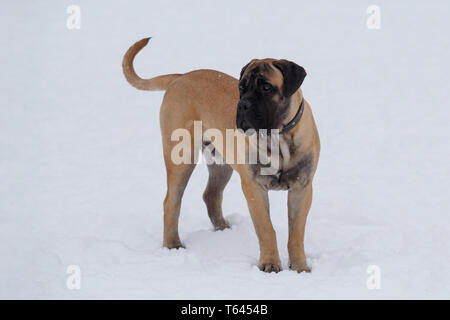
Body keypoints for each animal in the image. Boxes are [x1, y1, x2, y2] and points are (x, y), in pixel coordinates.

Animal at [121, 37, 322, 272]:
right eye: (241, 87)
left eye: (266, 87)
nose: (242, 104)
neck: (277, 137)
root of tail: (181, 77)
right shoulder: (254, 187)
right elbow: (266, 228)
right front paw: (270, 263)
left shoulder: (302, 187)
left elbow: (296, 233)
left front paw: (299, 267)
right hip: (181, 158)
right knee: (171, 201)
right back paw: (173, 244)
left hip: (221, 164)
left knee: (211, 194)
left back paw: (222, 228)